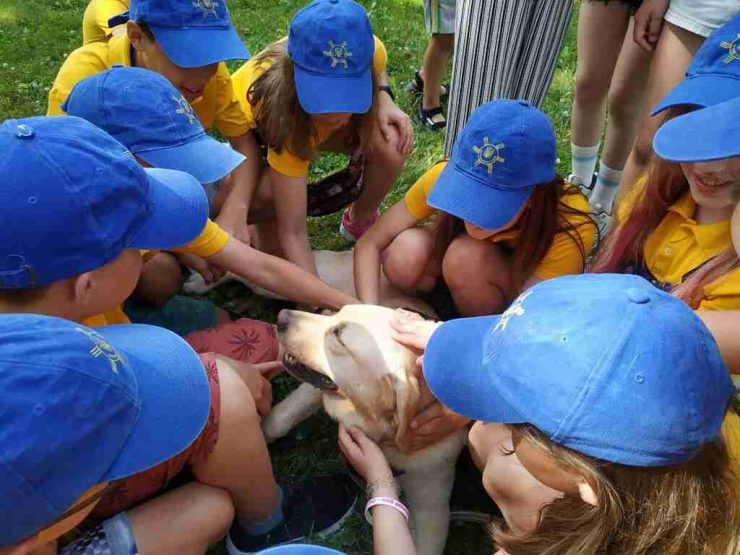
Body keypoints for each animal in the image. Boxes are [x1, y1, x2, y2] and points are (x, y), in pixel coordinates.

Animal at [264, 252, 466, 555]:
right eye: (338, 314)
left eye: (339, 337)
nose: (282, 318)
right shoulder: (317, 391)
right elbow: (282, 417)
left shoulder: (433, 505)